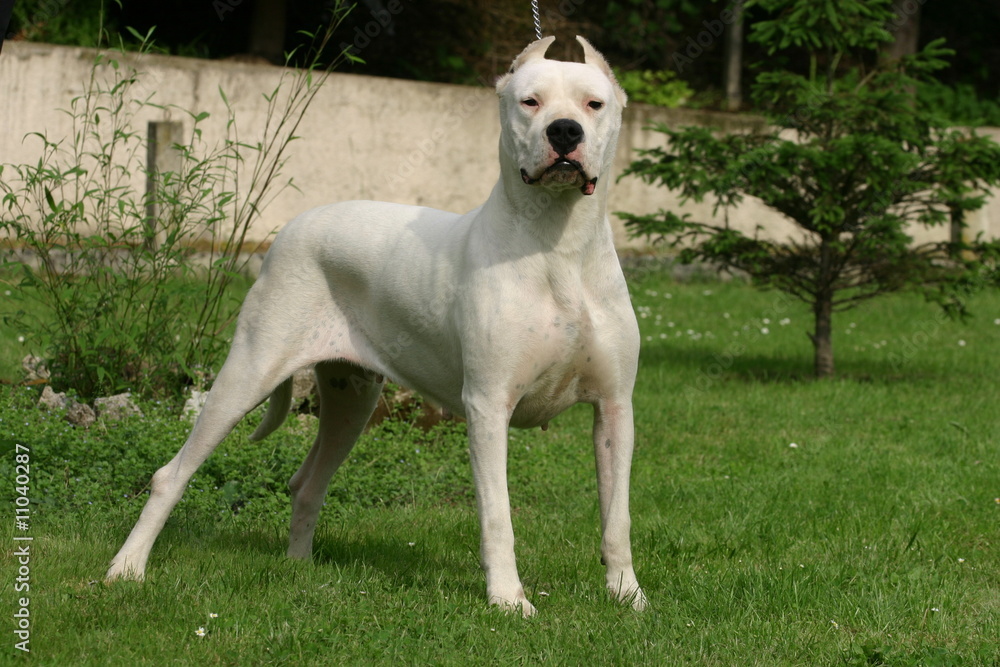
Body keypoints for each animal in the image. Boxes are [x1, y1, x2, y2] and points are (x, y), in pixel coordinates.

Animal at [105, 36, 644, 620]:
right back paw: (126, 568)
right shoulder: (488, 407)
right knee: (172, 475)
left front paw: (628, 594)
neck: (559, 245)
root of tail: (290, 229)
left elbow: (618, 517)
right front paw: (507, 599)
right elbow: (498, 515)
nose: (565, 131)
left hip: (351, 400)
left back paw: (299, 568)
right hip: (248, 372)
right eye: (530, 101)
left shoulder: (615, 408)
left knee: (306, 482)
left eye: (594, 104)